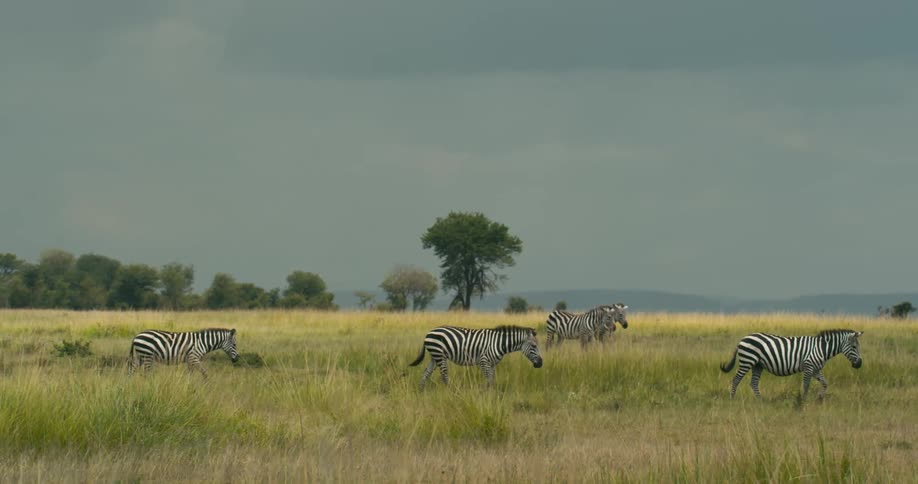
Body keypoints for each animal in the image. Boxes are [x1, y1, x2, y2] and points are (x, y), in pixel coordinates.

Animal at [408, 325, 543, 388]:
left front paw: (491, 394)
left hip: (434, 356)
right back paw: (450, 391)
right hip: (440, 355)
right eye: (533, 346)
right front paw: (487, 395)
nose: (541, 364)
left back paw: (421, 391)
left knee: (426, 373)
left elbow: (491, 380)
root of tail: (429, 332)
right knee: (444, 374)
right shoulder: (484, 361)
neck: (500, 343)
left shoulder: (493, 364)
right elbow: (488, 380)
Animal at [720, 329, 863, 401]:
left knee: (753, 383)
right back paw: (732, 399)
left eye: (858, 346)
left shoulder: (816, 370)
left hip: (757, 365)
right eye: (854, 347)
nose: (860, 364)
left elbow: (825, 383)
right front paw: (803, 402)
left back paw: (760, 402)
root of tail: (742, 339)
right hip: (747, 361)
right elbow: (806, 385)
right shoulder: (808, 367)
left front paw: (820, 398)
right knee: (736, 379)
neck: (821, 348)